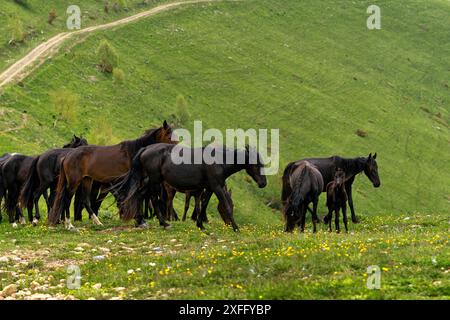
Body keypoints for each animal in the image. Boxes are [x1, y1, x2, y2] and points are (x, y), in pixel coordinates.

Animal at [118, 144, 268, 231]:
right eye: (256, 164)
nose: (263, 183)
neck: (219, 160)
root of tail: (146, 149)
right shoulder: (217, 187)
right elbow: (225, 205)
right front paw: (236, 228)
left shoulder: (209, 188)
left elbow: (203, 204)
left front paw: (200, 225)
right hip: (155, 181)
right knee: (153, 199)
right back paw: (164, 223)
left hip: (150, 181)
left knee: (140, 195)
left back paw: (140, 221)